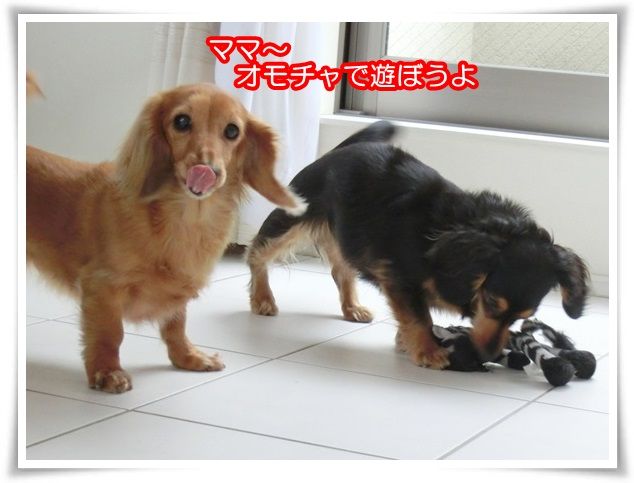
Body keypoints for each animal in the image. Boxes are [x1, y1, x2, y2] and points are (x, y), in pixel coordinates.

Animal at [27, 81, 305, 392]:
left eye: (232, 131)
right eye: (181, 121)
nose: (207, 170)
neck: (183, 218)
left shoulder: (177, 293)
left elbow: (176, 326)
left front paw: (188, 357)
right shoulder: (102, 286)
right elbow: (110, 333)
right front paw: (107, 371)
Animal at [247, 121, 589, 369]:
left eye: (522, 316)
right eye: (492, 303)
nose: (486, 357)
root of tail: (344, 149)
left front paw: (407, 342)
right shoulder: (401, 278)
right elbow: (419, 317)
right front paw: (428, 351)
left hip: (349, 237)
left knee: (341, 270)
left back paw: (352, 307)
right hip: (296, 216)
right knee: (258, 251)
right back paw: (262, 298)